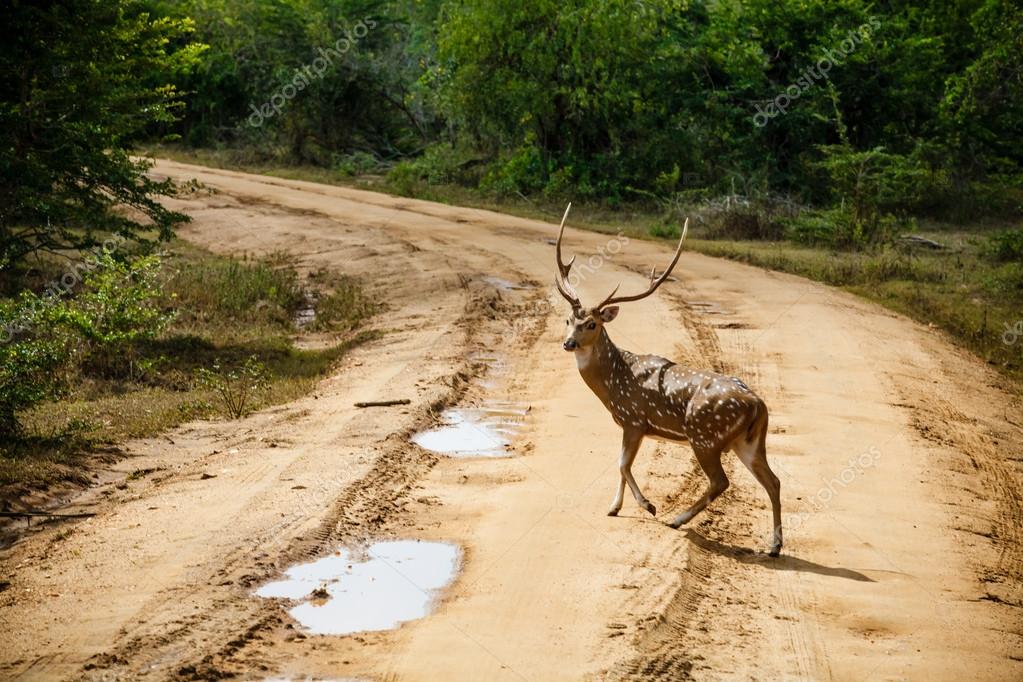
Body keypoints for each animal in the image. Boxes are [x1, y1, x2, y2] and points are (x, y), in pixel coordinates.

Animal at [552, 205, 781, 556]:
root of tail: (757, 404)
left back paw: (677, 520)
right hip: (749, 441)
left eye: (592, 324)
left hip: (705, 435)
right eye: (568, 320)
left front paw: (647, 506)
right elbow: (620, 464)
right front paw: (614, 507)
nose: (568, 343)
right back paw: (774, 546)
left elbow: (622, 464)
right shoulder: (631, 424)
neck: (613, 385)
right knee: (773, 481)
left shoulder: (634, 418)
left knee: (721, 481)